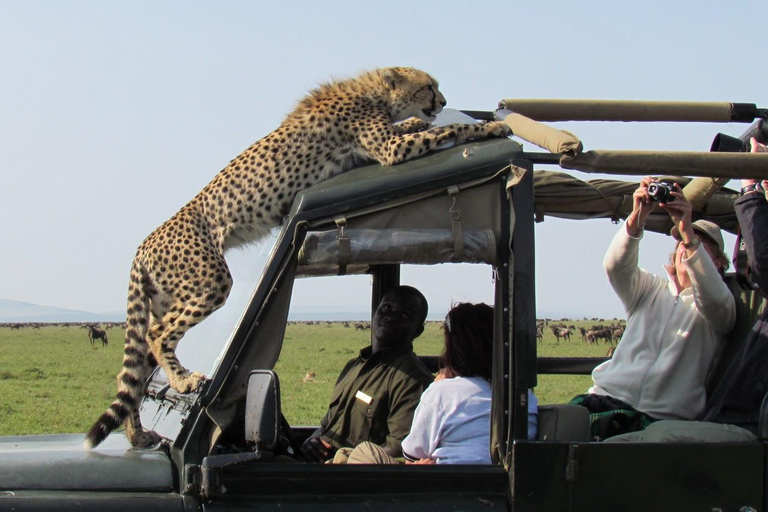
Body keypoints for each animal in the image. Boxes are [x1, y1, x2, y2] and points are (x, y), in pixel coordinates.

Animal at [84, 65, 510, 448]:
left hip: (167, 298)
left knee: (138, 366)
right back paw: (183, 381)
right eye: (428, 87)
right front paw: (488, 129)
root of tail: (143, 245)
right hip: (210, 282)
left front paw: (426, 122)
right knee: (156, 336)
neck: (373, 93)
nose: (443, 101)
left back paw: (138, 434)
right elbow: (446, 132)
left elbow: (421, 129)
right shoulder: (389, 149)